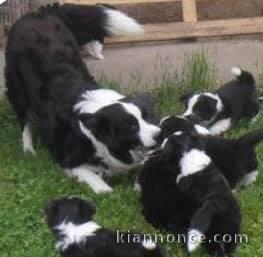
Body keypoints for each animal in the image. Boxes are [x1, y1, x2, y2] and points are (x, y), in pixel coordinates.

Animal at [5, 6, 161, 192]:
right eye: (132, 127)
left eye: (150, 117)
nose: (160, 135)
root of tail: (38, 13)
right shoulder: (70, 163)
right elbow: (103, 189)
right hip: (17, 89)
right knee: (25, 120)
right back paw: (28, 150)